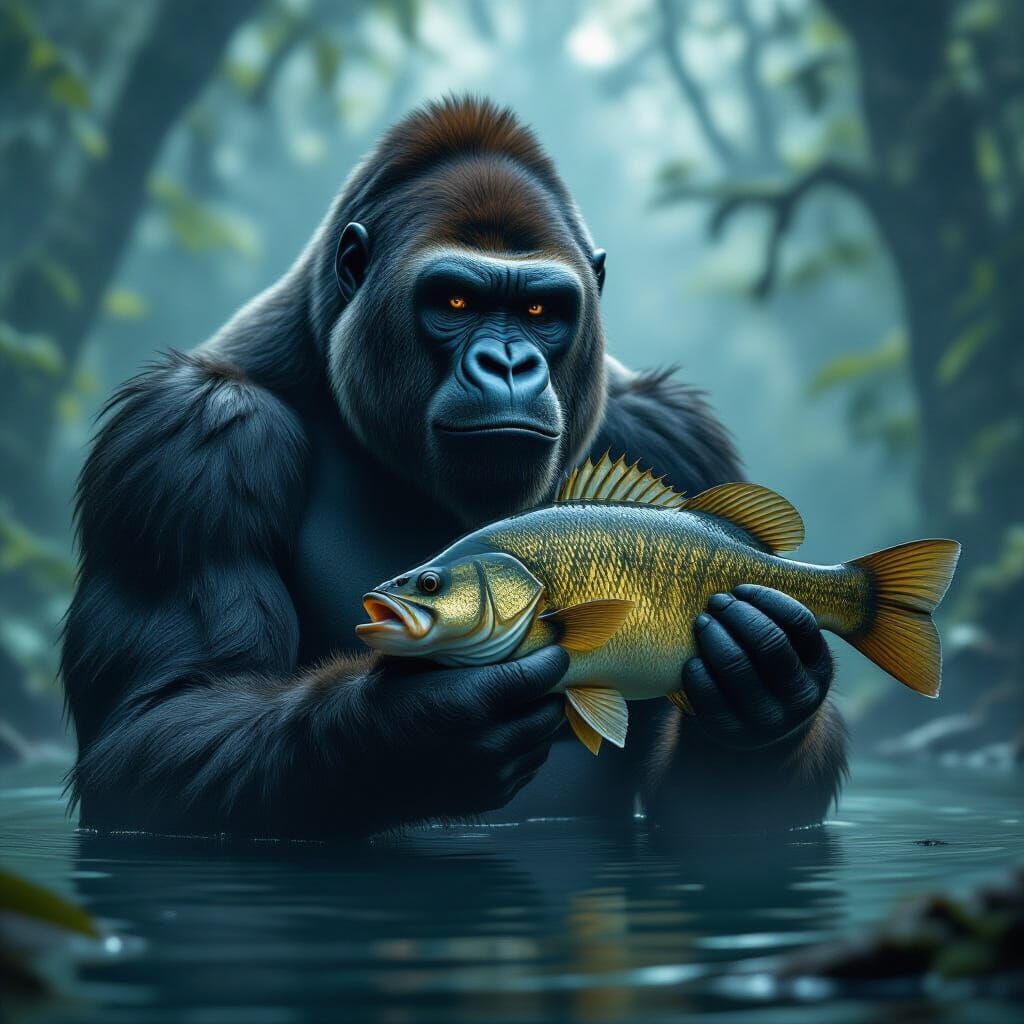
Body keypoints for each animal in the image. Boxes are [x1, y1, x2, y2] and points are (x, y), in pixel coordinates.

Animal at [62, 96, 845, 839]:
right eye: (456, 300)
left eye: (541, 310)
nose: (507, 363)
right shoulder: (191, 437)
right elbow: (158, 720)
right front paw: (408, 735)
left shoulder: (678, 435)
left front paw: (763, 702)